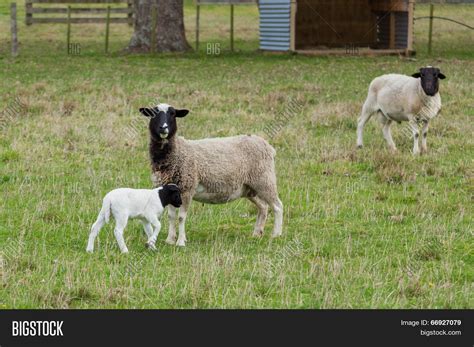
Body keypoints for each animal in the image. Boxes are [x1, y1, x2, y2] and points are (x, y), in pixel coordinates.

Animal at [139, 103, 284, 247]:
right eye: (153, 113)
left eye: (173, 114)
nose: (163, 128)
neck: (177, 151)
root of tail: (269, 147)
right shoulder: (170, 190)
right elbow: (171, 216)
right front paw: (170, 240)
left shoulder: (187, 188)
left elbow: (181, 217)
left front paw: (180, 242)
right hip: (249, 188)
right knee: (263, 207)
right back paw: (257, 233)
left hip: (265, 180)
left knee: (277, 206)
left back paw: (276, 235)